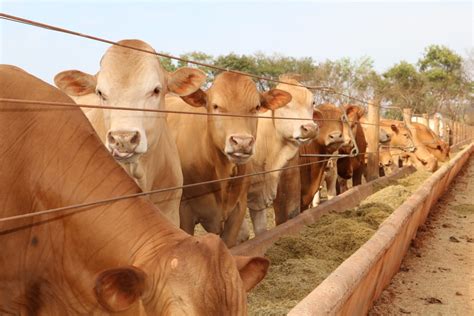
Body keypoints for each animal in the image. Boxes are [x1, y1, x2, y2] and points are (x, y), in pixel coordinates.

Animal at [237, 76, 318, 238]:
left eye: (312, 102)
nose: (310, 128)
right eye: (285, 105)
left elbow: (261, 231)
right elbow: (242, 235)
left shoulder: (257, 195)